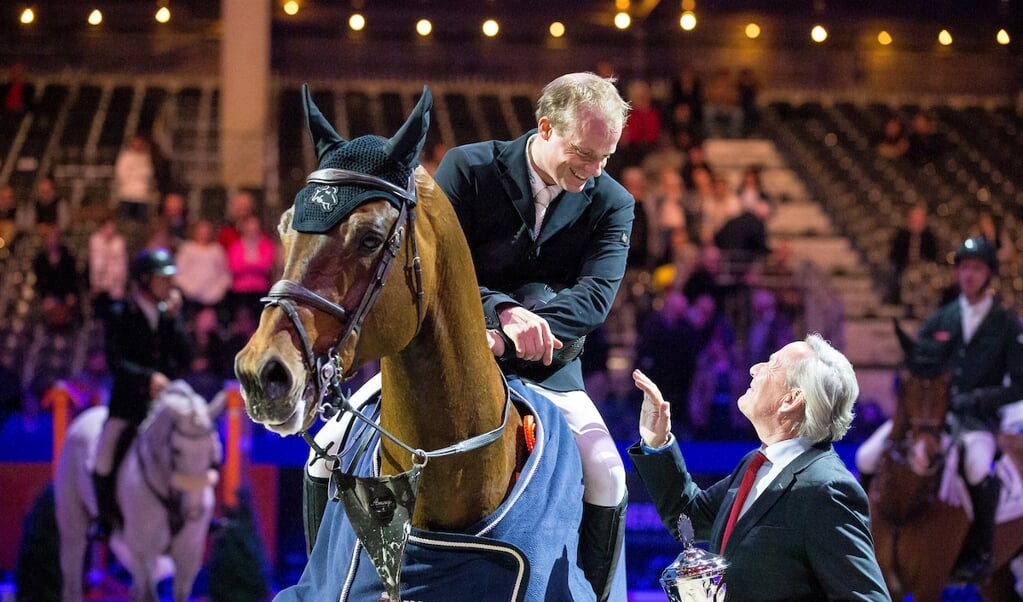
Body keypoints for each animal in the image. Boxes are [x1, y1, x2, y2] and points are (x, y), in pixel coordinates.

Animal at [54, 380, 223, 602]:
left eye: (212, 448)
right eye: (176, 451)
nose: (195, 511)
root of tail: (86, 416)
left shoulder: (188, 554)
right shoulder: (144, 553)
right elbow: (150, 595)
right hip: (73, 526)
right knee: (72, 576)